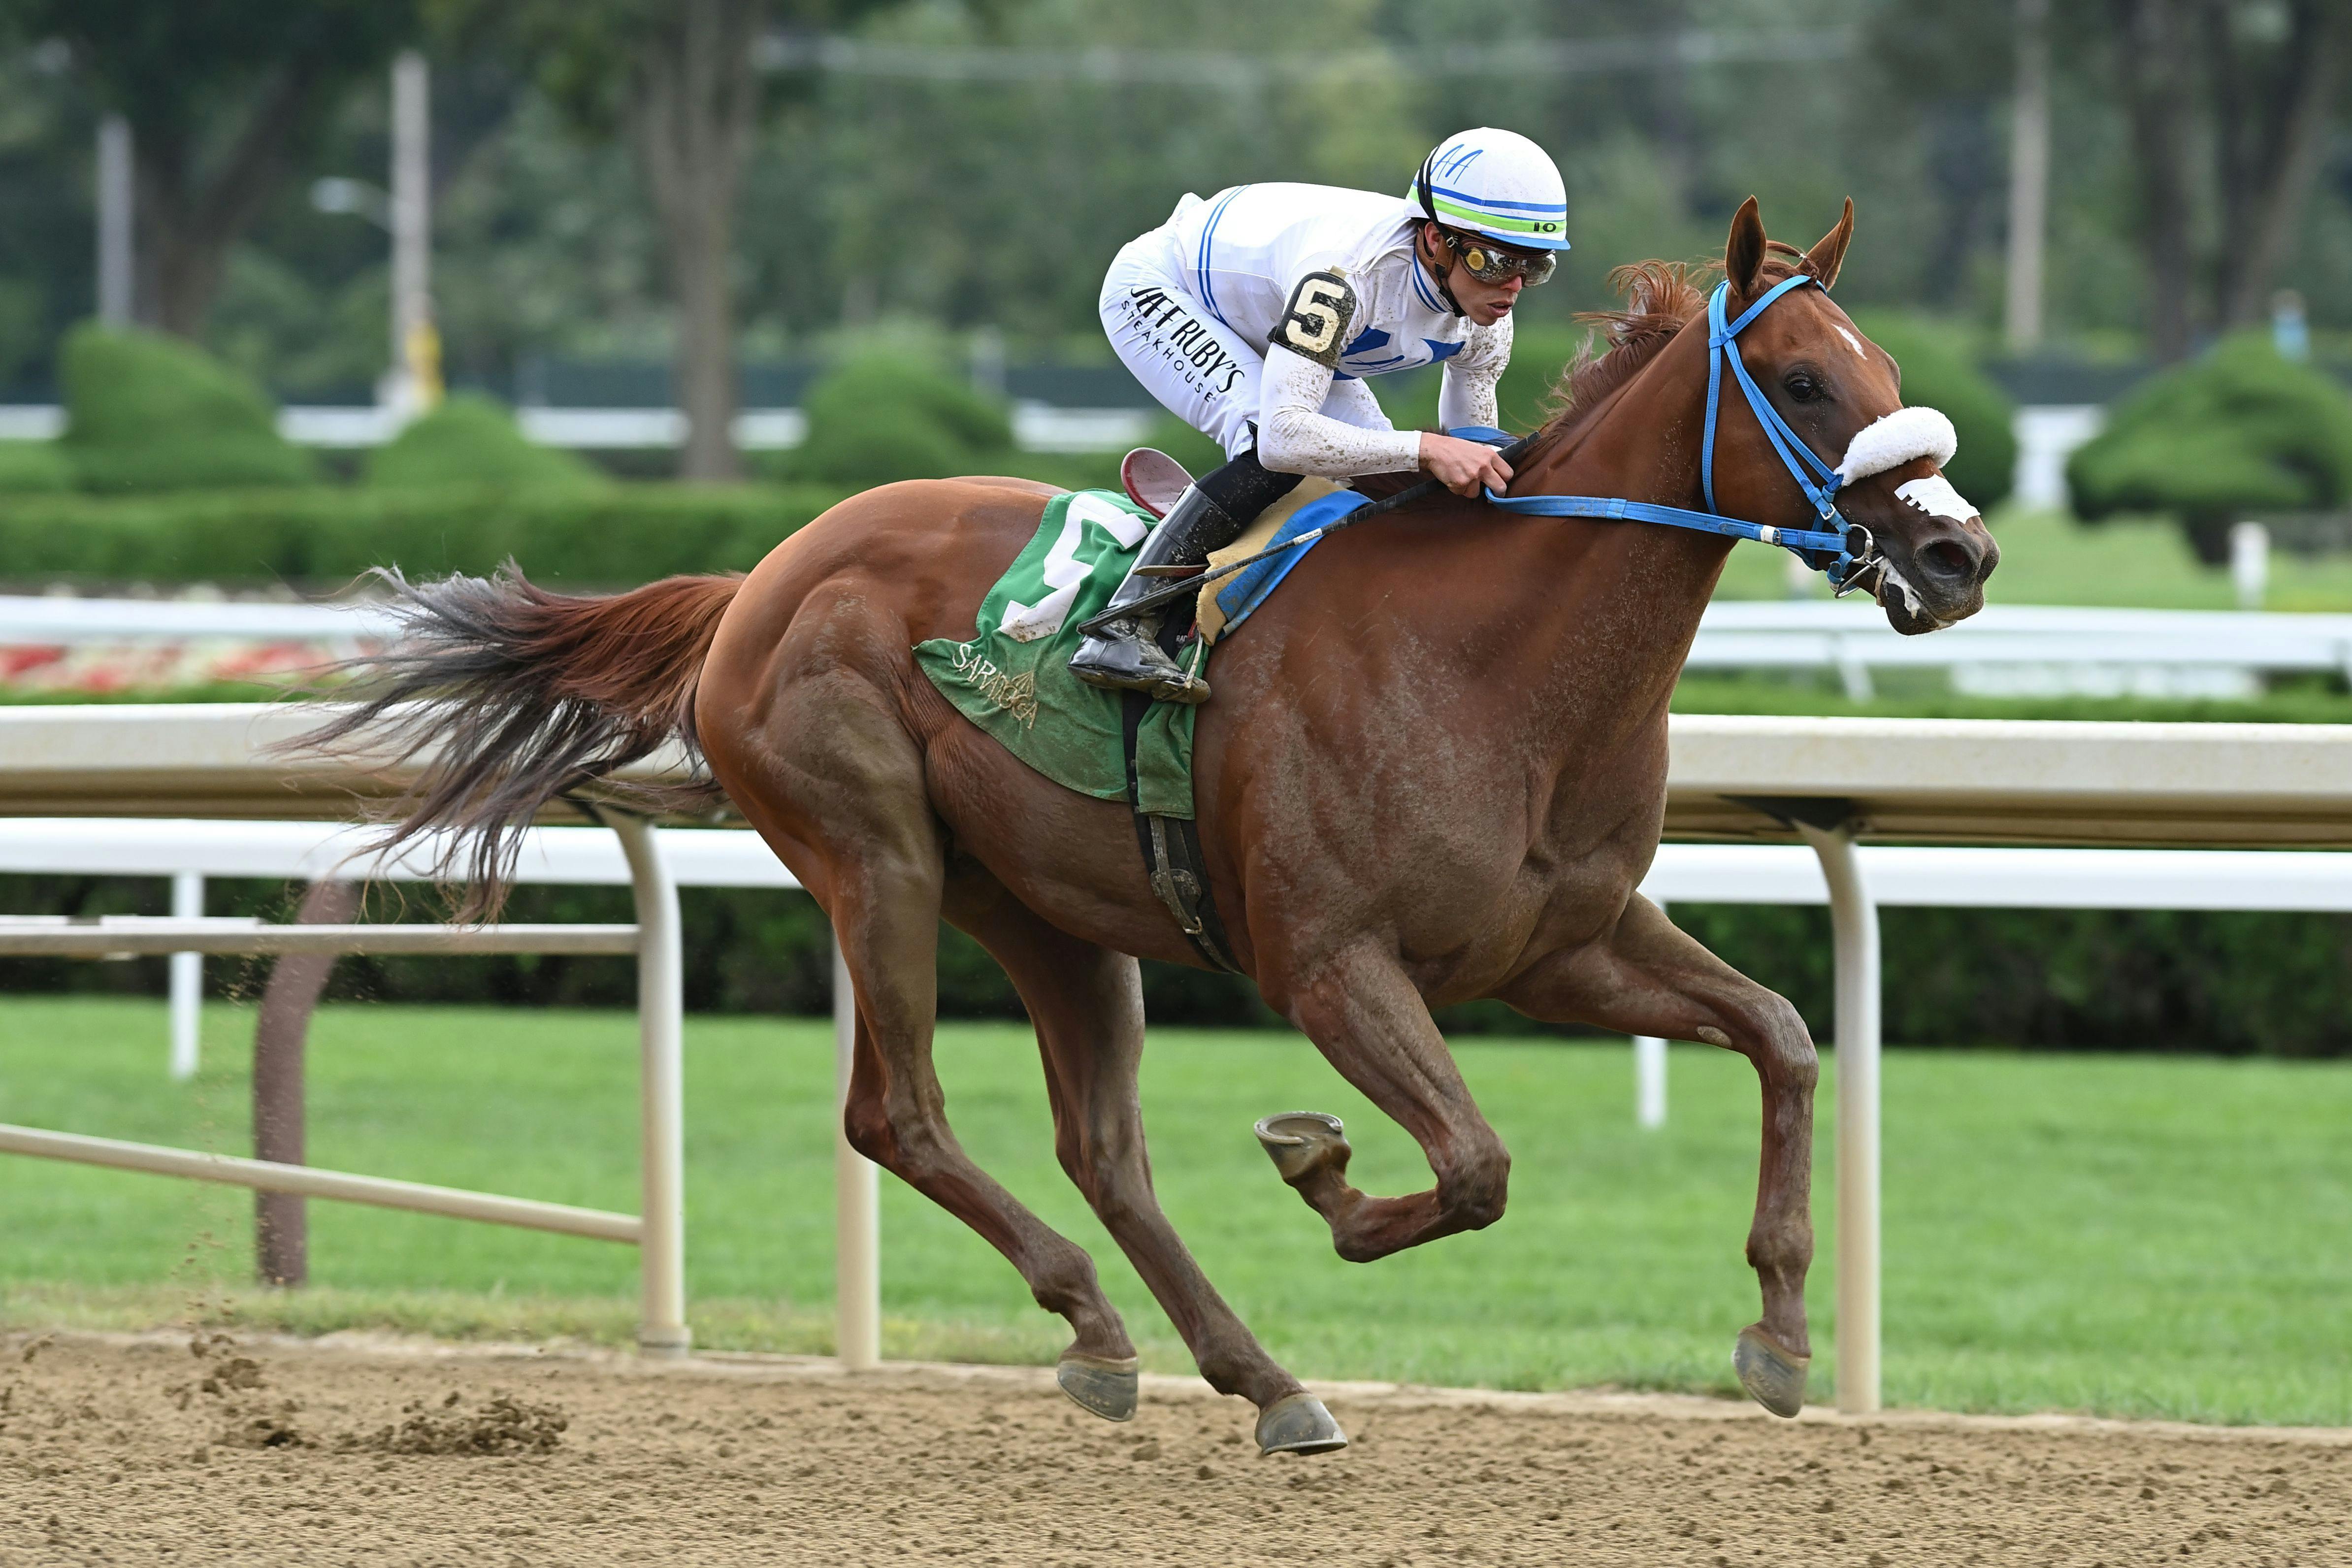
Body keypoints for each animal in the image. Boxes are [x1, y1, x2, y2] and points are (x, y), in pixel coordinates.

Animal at [317, 199, 2004, 1457]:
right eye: (1802, 382)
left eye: (1880, 364)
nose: (1960, 551)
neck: (1493, 664)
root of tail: (759, 579)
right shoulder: (1329, 963)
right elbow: (1472, 1165)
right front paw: (1323, 1171)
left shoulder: (1561, 943)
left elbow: (1782, 1035)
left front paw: (1778, 1335)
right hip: (878, 856)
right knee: (898, 1114)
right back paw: (1102, 1321)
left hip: (1046, 908)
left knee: (1102, 1149)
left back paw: (1257, 1378)